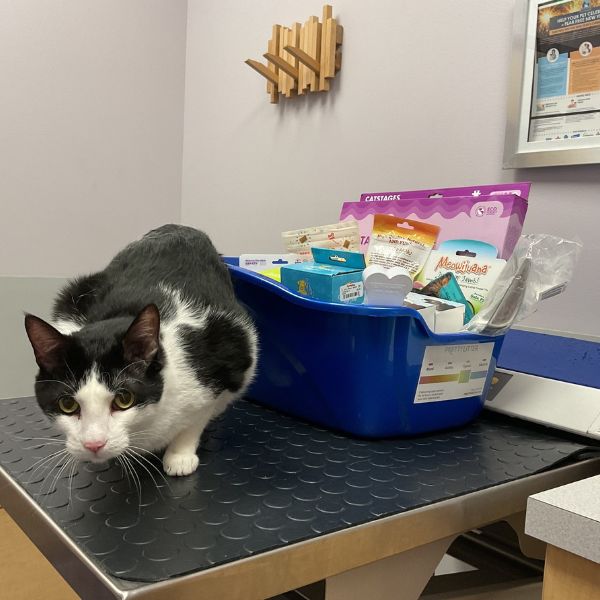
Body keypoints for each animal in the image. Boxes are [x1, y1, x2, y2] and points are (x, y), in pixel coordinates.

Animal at [23, 225, 256, 478]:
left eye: (124, 399)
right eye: (67, 404)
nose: (94, 444)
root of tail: (178, 228)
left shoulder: (223, 357)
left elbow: (195, 422)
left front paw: (180, 456)